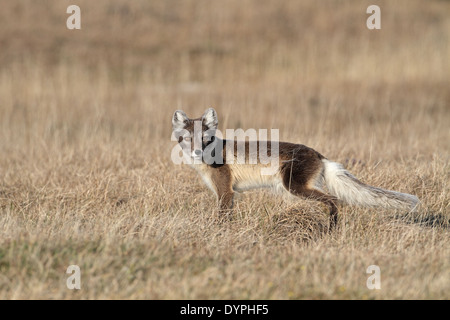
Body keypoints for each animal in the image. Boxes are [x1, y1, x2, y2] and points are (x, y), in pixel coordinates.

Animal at [171, 109, 418, 229]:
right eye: (188, 139)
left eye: (205, 138)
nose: (196, 152)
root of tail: (319, 154)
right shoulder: (229, 194)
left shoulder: (225, 191)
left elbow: (221, 217)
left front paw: (217, 231)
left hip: (295, 187)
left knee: (334, 200)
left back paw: (332, 227)